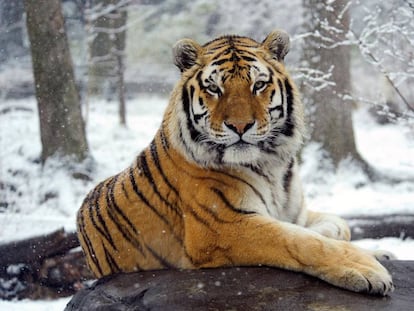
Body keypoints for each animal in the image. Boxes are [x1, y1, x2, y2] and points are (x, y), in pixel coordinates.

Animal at [77, 30, 394, 296]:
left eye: (259, 85)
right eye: (214, 88)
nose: (239, 126)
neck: (272, 164)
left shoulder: (296, 213)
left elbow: (338, 225)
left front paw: (380, 253)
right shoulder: (225, 226)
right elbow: (301, 241)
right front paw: (368, 270)